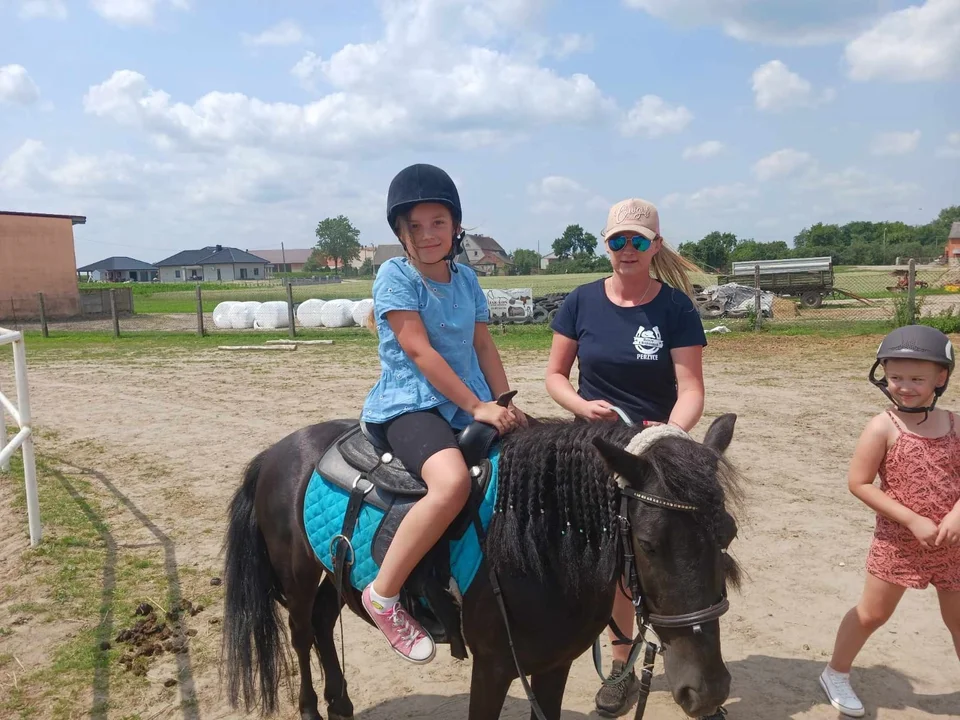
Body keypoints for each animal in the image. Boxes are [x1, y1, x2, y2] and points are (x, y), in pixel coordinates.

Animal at [223, 410, 744, 720]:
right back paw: (313, 708)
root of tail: (280, 450)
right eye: (650, 545)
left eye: (727, 534)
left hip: (333, 574)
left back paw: (342, 704)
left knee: (324, 624)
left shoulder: (553, 665)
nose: (710, 689)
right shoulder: (493, 667)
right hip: (297, 578)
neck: (535, 548)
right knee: (302, 634)